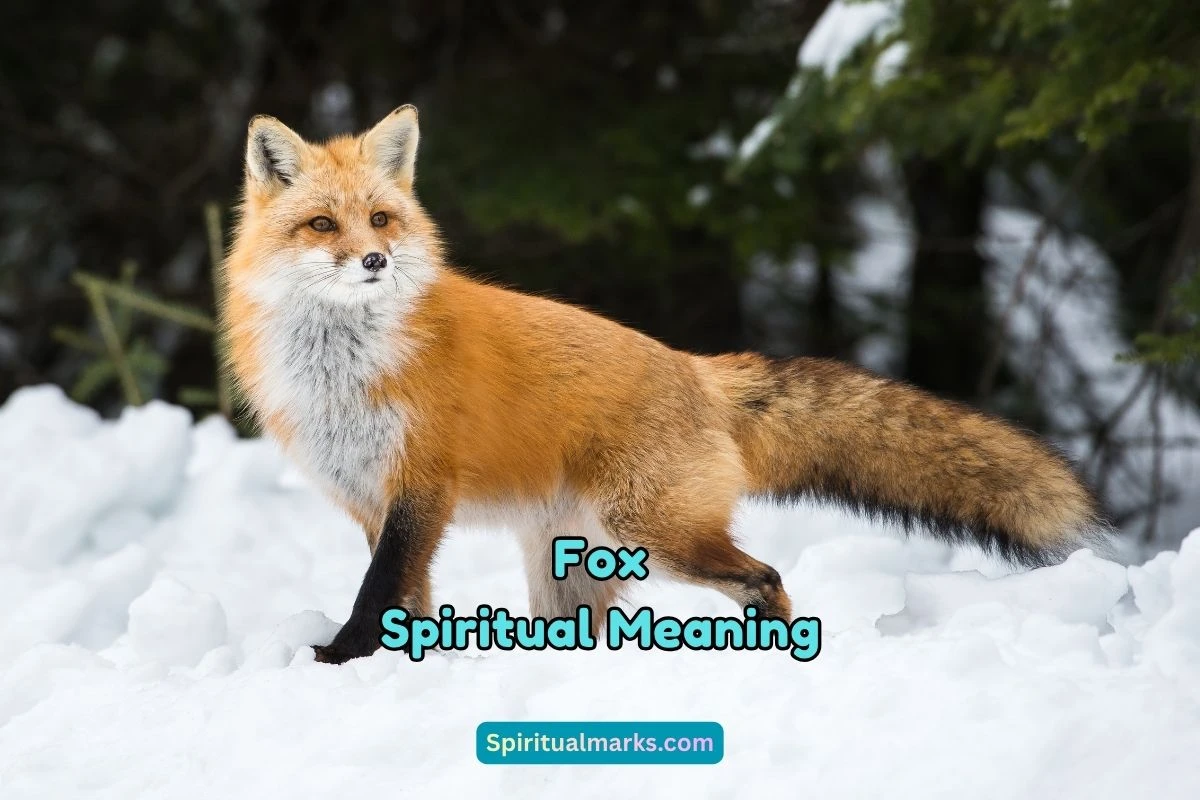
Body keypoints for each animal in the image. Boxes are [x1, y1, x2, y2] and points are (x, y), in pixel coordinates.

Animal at [223, 105, 1111, 664]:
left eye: (380, 219)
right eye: (322, 225)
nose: (375, 259)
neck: (345, 370)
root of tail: (695, 368)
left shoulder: (421, 487)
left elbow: (379, 595)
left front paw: (341, 659)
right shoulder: (374, 500)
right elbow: (405, 598)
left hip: (654, 532)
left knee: (766, 578)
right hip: (575, 565)